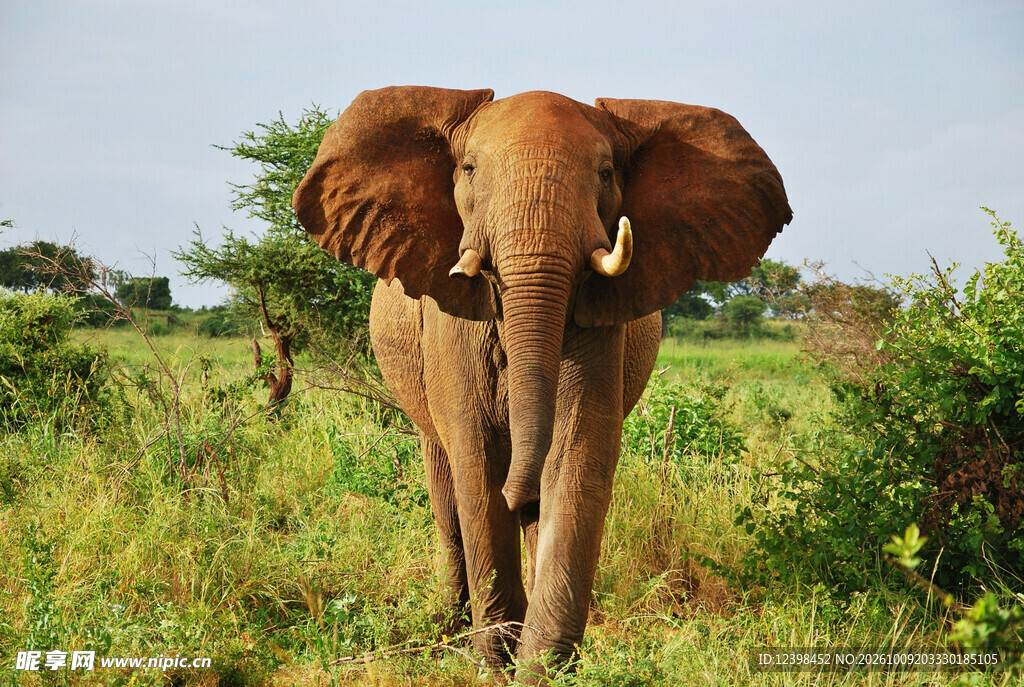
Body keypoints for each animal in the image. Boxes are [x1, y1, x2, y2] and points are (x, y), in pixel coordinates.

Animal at [293, 86, 791, 681]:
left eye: (605, 173)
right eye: (469, 169)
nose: (520, 493)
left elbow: (576, 454)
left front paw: (541, 669)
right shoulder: (451, 321)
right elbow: (476, 460)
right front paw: (497, 661)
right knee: (445, 485)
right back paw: (452, 627)